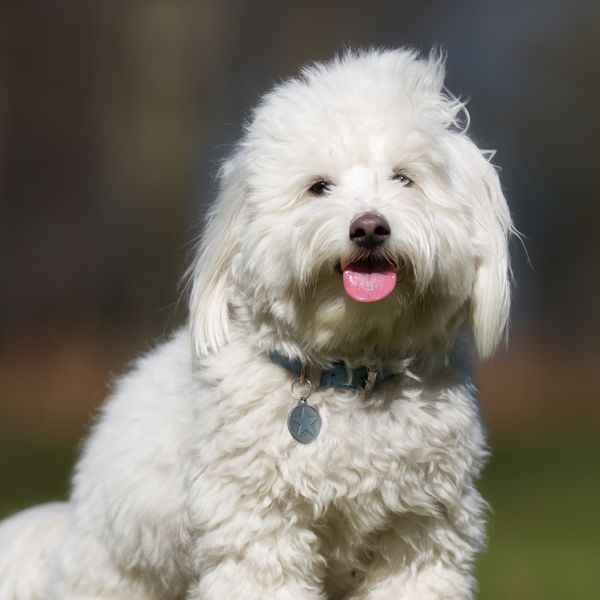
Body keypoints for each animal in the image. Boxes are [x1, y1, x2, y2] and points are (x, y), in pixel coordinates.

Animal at [0, 49, 510, 596]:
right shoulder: (258, 524)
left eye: (404, 178)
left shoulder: (422, 531)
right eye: (318, 187)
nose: (370, 227)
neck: (350, 374)